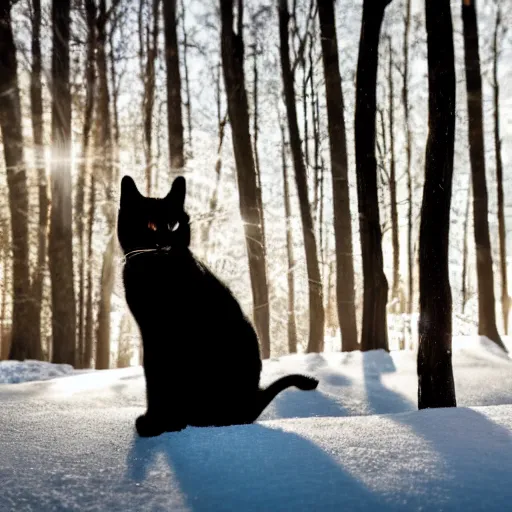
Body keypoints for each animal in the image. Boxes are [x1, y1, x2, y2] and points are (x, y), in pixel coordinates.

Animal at [118, 175, 318, 436]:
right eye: (150, 225)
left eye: (174, 224)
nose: (166, 242)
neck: (157, 276)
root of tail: (251, 405)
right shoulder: (151, 335)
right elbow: (153, 377)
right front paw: (157, 421)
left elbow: (163, 380)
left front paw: (160, 424)